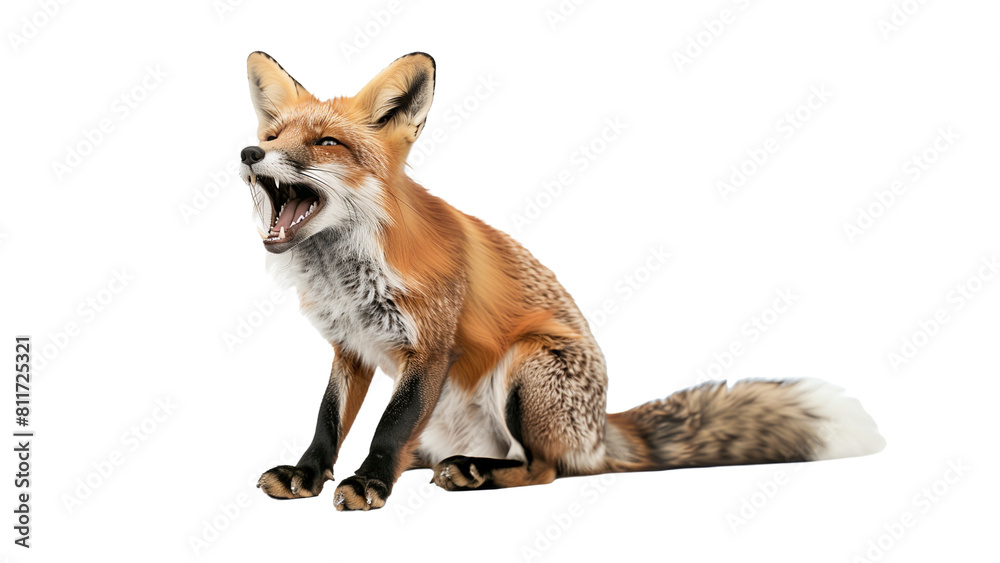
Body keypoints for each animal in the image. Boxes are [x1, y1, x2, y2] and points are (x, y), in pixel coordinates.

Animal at [240, 51, 885, 511]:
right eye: (273, 139)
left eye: (326, 143)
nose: (249, 153)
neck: (348, 270)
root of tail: (599, 429)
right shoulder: (350, 346)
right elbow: (328, 419)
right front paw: (309, 474)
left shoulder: (430, 345)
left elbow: (388, 426)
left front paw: (370, 482)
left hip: (527, 367)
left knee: (545, 468)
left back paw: (475, 473)